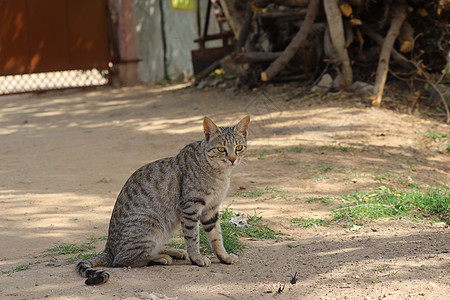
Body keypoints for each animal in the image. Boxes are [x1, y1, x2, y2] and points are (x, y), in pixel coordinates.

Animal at [76, 116, 250, 284]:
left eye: (238, 148)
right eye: (221, 149)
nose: (233, 159)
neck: (220, 174)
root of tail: (108, 249)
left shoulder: (211, 209)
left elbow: (216, 237)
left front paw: (224, 257)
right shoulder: (191, 207)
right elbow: (193, 237)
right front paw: (197, 258)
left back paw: (174, 252)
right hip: (151, 224)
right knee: (121, 260)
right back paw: (161, 257)